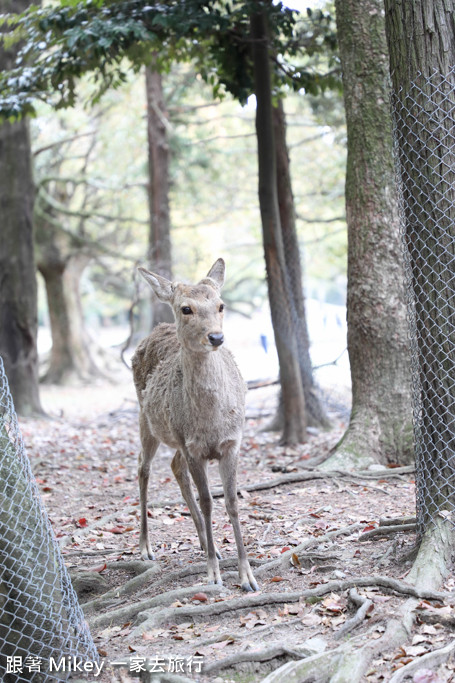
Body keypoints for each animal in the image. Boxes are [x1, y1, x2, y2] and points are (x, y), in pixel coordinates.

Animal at [132, 258, 260, 592]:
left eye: (221, 305)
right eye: (186, 308)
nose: (216, 338)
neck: (211, 423)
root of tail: (154, 330)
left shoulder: (232, 443)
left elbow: (232, 502)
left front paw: (247, 576)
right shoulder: (194, 448)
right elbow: (207, 502)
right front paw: (214, 574)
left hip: (175, 437)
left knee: (175, 467)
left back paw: (205, 542)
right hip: (146, 419)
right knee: (143, 467)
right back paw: (146, 547)